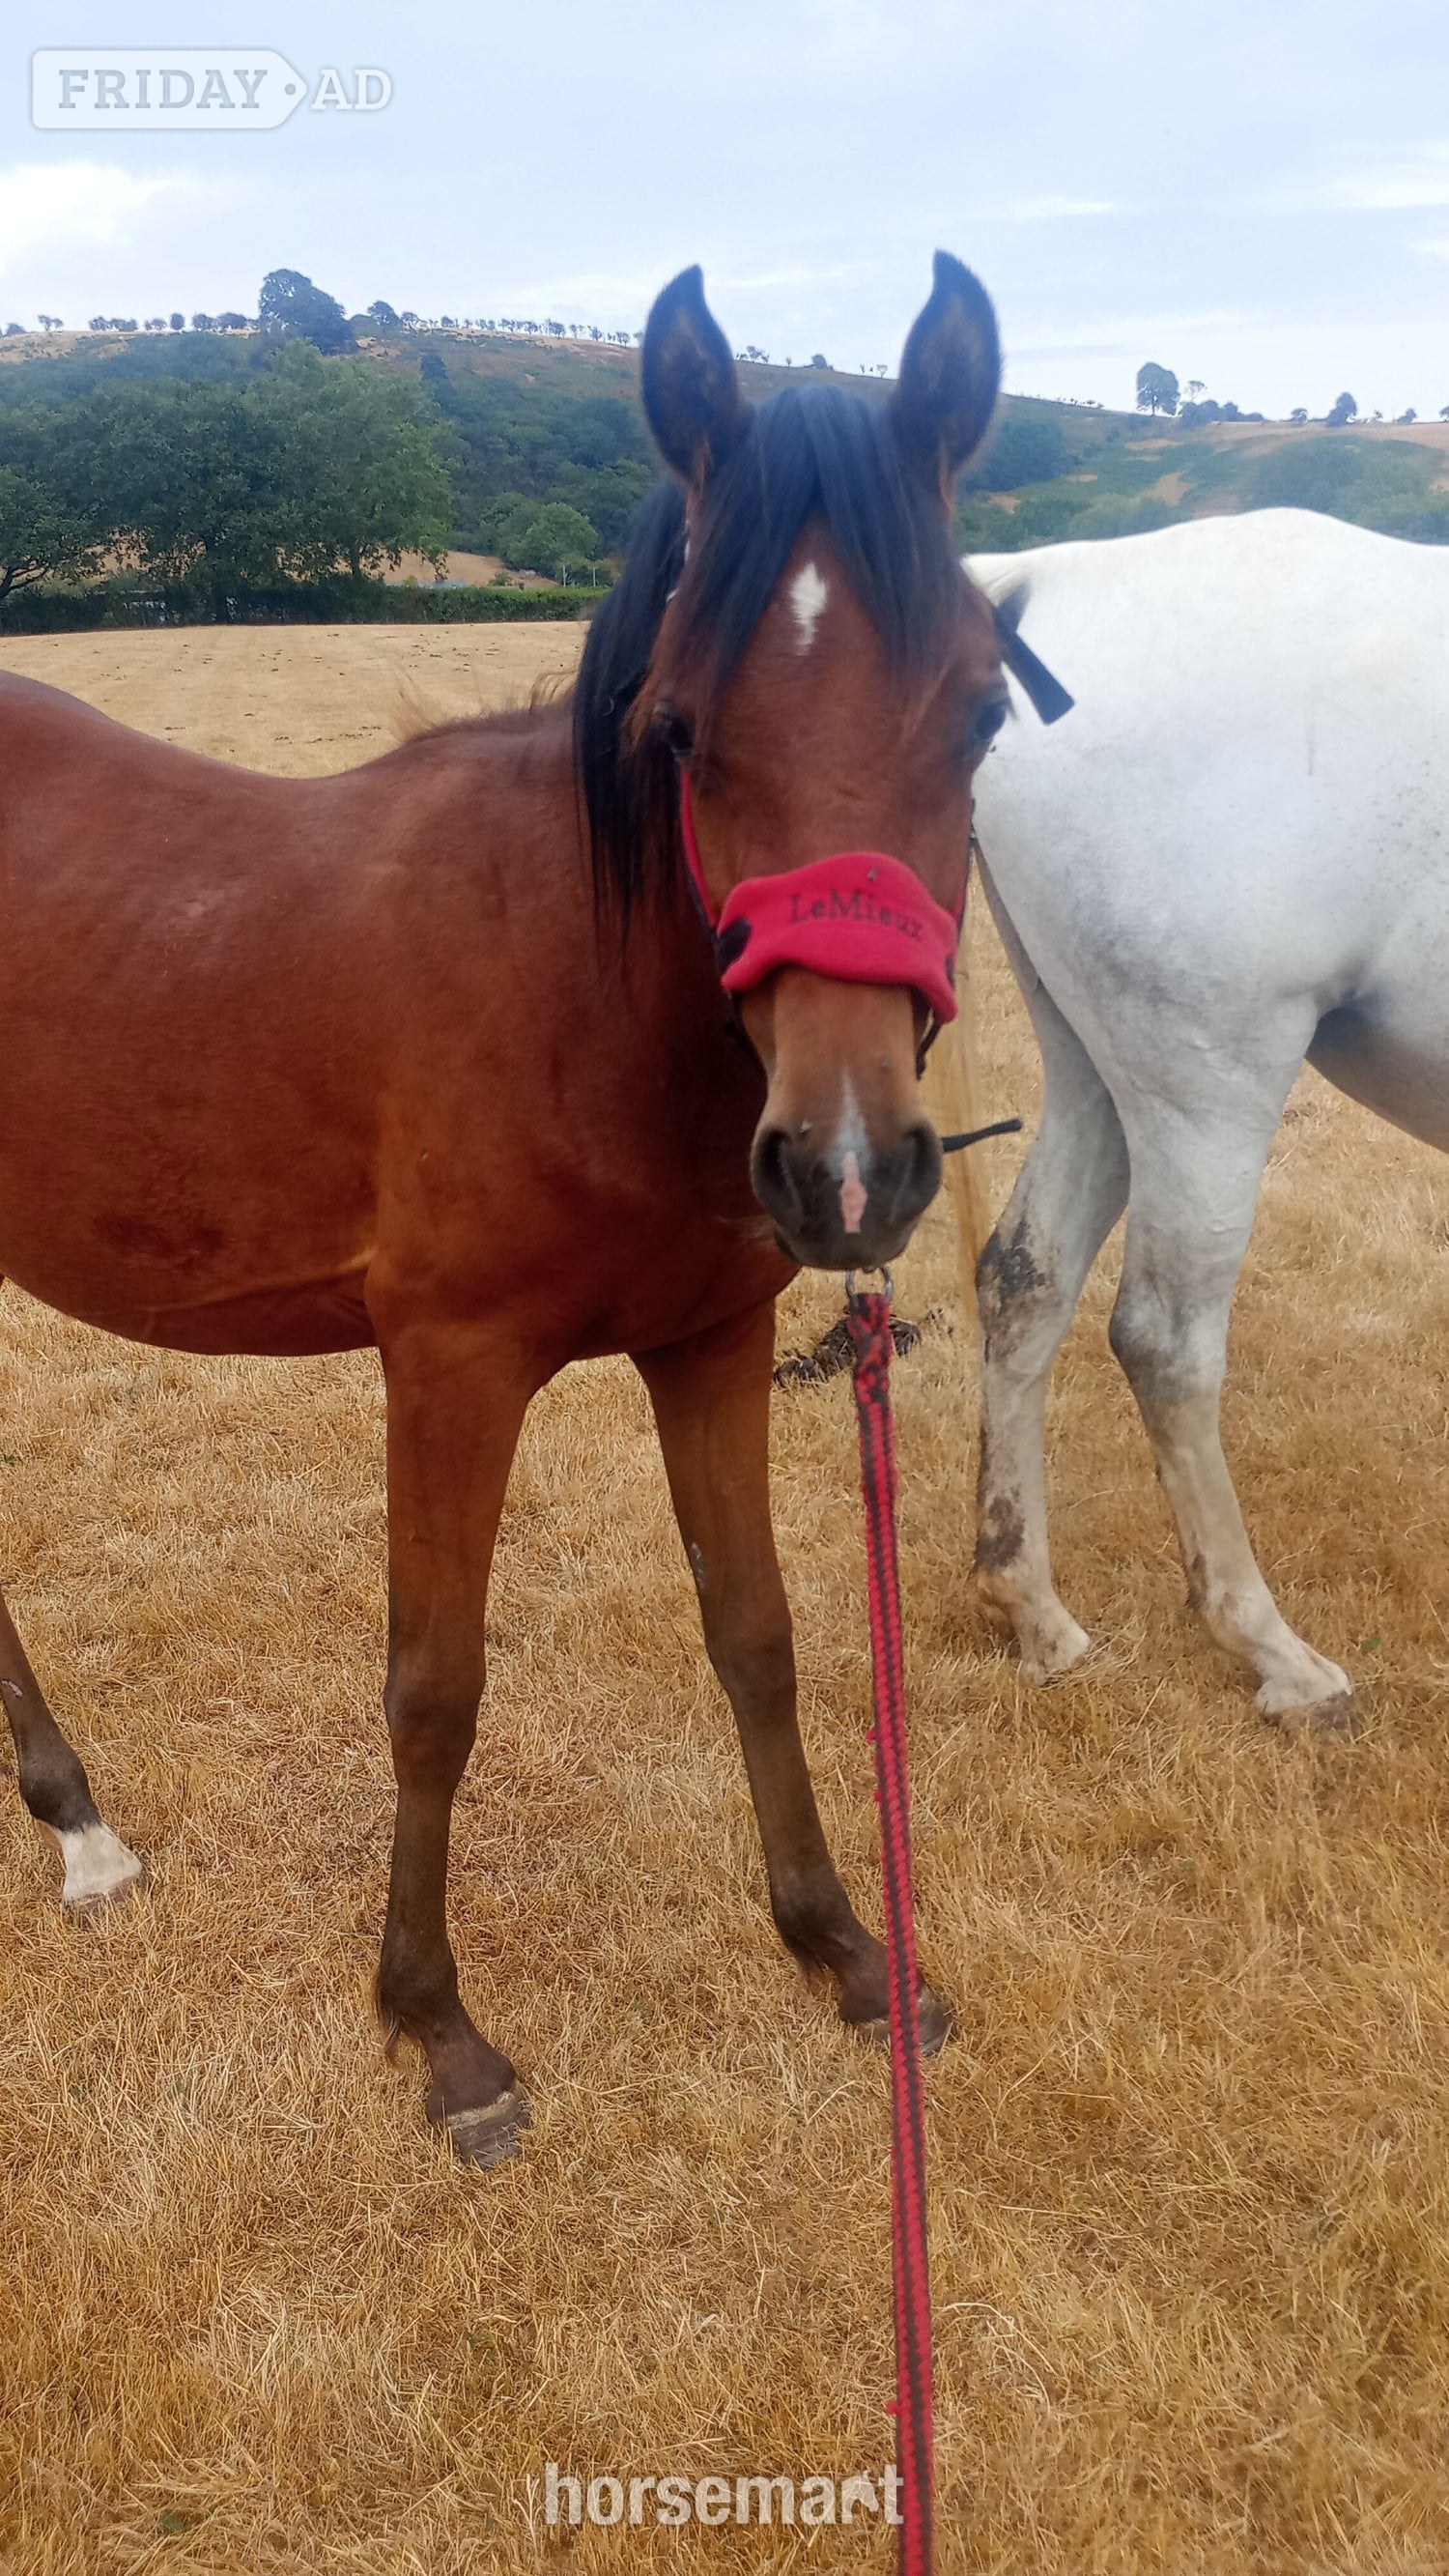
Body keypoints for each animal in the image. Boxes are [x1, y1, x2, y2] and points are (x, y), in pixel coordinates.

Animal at [0, 253, 1012, 2166]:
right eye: (683, 729)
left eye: (986, 711)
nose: (847, 1166)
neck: (578, 985)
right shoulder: (450, 1367)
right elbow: (435, 1686)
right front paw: (437, 2024)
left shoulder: (711, 1345)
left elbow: (759, 1635)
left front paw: (842, 1944)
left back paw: (72, 1814)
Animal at [966, 508, 1448, 1730]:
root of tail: (1043, 579)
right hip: (1208, 1078)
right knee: (1164, 1341)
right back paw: (1274, 1649)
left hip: (1093, 1064)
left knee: (1023, 1278)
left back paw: (1034, 1613)